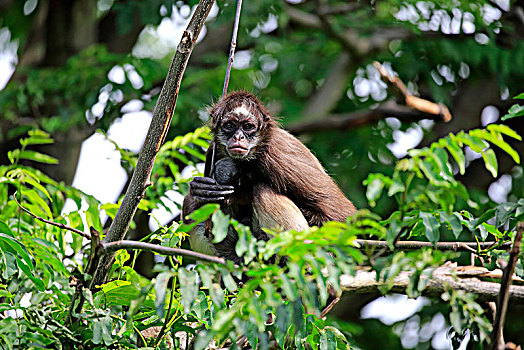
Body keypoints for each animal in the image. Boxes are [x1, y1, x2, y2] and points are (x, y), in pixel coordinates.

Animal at [181, 90, 356, 262]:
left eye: (248, 127)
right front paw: (201, 190)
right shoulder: (214, 149)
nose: (238, 137)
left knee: (262, 189)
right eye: (229, 125)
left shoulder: (276, 153)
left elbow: (341, 217)